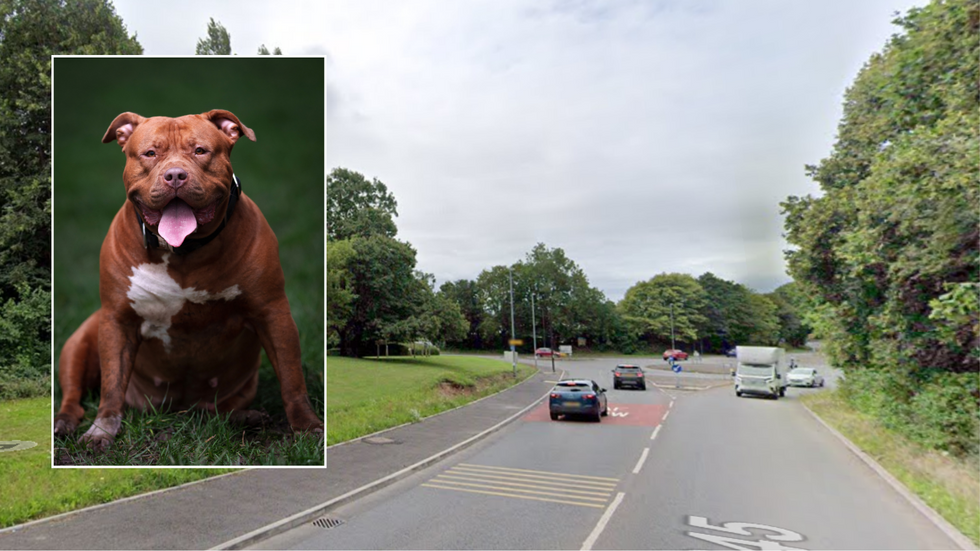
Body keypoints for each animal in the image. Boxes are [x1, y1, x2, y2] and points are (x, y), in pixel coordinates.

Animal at [55, 110, 324, 450]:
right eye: (150, 153)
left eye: (200, 151)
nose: (175, 175)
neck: (183, 251)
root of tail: (178, 410)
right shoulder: (117, 320)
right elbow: (112, 385)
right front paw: (102, 430)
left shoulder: (273, 312)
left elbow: (291, 379)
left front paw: (307, 426)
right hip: (79, 344)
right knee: (74, 394)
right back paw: (64, 422)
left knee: (218, 410)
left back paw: (247, 417)